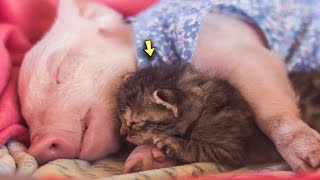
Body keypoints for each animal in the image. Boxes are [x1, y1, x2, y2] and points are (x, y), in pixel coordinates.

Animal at [116, 63, 320, 169]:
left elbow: (199, 148)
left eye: (135, 123)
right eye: (121, 120)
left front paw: (172, 144)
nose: (121, 133)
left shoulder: (232, 148)